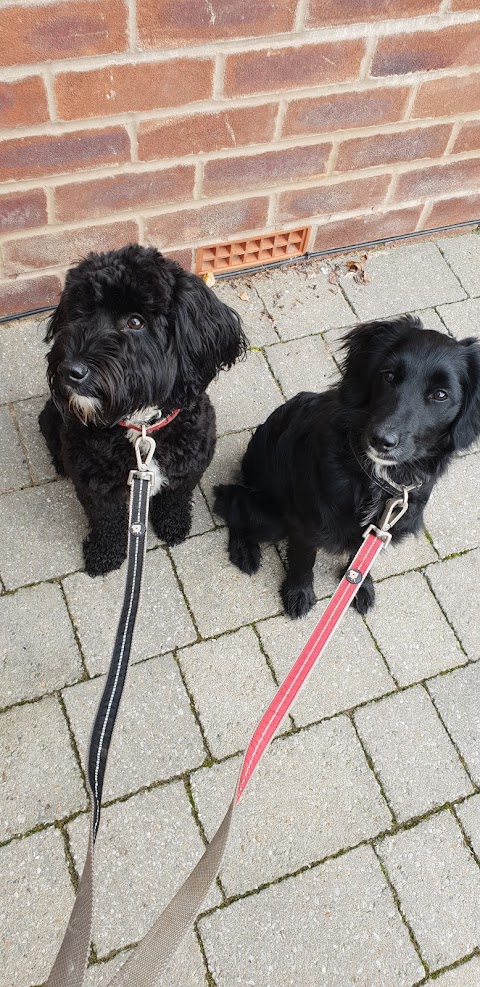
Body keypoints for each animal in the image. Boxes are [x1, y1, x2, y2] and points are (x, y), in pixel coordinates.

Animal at [39, 242, 246, 576]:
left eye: (136, 321)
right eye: (80, 311)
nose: (70, 370)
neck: (142, 427)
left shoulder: (190, 464)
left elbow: (176, 496)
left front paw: (173, 524)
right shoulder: (95, 484)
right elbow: (106, 519)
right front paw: (105, 553)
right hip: (51, 416)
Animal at [216, 318, 480, 616]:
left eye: (440, 395)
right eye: (388, 376)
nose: (381, 439)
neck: (377, 477)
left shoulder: (378, 530)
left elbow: (359, 557)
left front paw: (358, 584)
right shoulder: (305, 525)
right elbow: (303, 562)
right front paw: (298, 593)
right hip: (271, 519)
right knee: (231, 504)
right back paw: (244, 551)